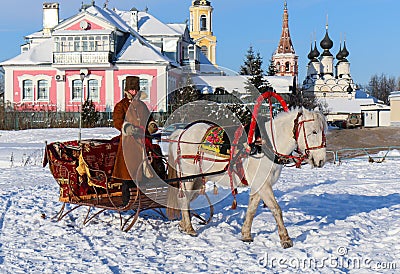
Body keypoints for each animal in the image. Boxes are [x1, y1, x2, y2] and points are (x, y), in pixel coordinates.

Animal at [166, 107, 324, 248]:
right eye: (313, 131)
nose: (321, 160)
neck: (265, 146)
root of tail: (181, 133)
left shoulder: (258, 186)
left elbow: (251, 210)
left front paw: (246, 234)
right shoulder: (263, 185)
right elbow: (276, 209)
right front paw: (285, 239)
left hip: (198, 180)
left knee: (185, 200)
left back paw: (183, 224)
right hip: (189, 178)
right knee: (184, 199)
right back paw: (189, 228)